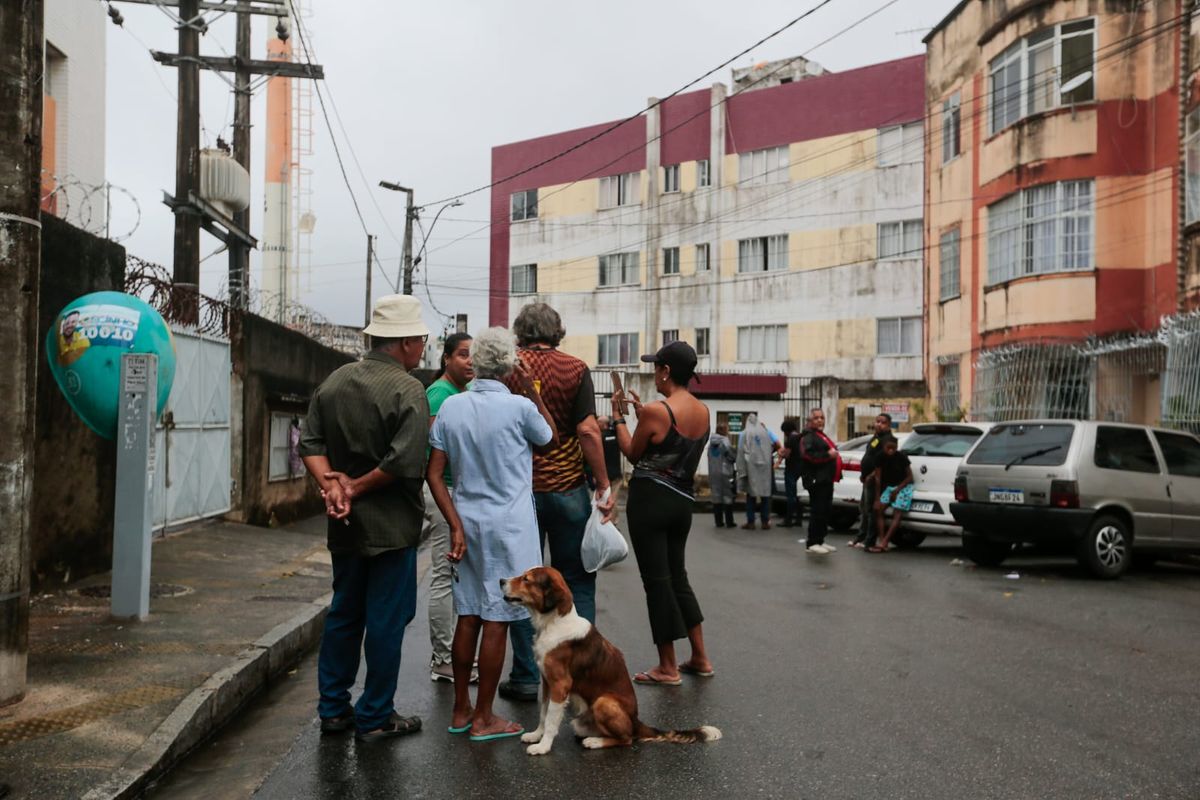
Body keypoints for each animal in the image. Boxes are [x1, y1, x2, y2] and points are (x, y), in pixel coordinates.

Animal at [499, 563, 720, 758]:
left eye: (526, 579)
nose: (501, 580)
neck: (554, 623)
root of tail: (637, 722)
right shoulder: (547, 682)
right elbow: (544, 714)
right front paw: (536, 735)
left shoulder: (560, 685)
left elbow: (552, 720)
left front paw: (543, 747)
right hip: (582, 720)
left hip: (604, 702)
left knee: (627, 739)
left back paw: (595, 742)